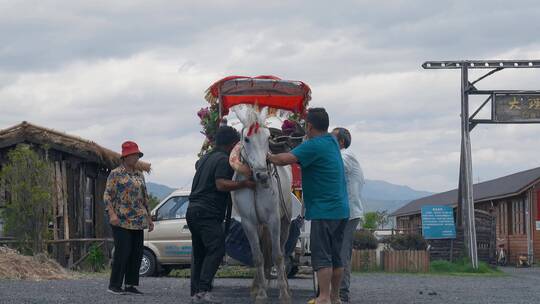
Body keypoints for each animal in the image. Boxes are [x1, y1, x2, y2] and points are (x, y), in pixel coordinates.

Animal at [231, 105, 294, 304]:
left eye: (267, 138)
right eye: (246, 139)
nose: (263, 175)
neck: (255, 186)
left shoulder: (274, 220)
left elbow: (278, 255)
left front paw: (284, 293)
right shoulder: (249, 223)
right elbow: (258, 257)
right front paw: (260, 293)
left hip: (285, 222)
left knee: (281, 249)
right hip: (260, 226)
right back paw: (258, 285)